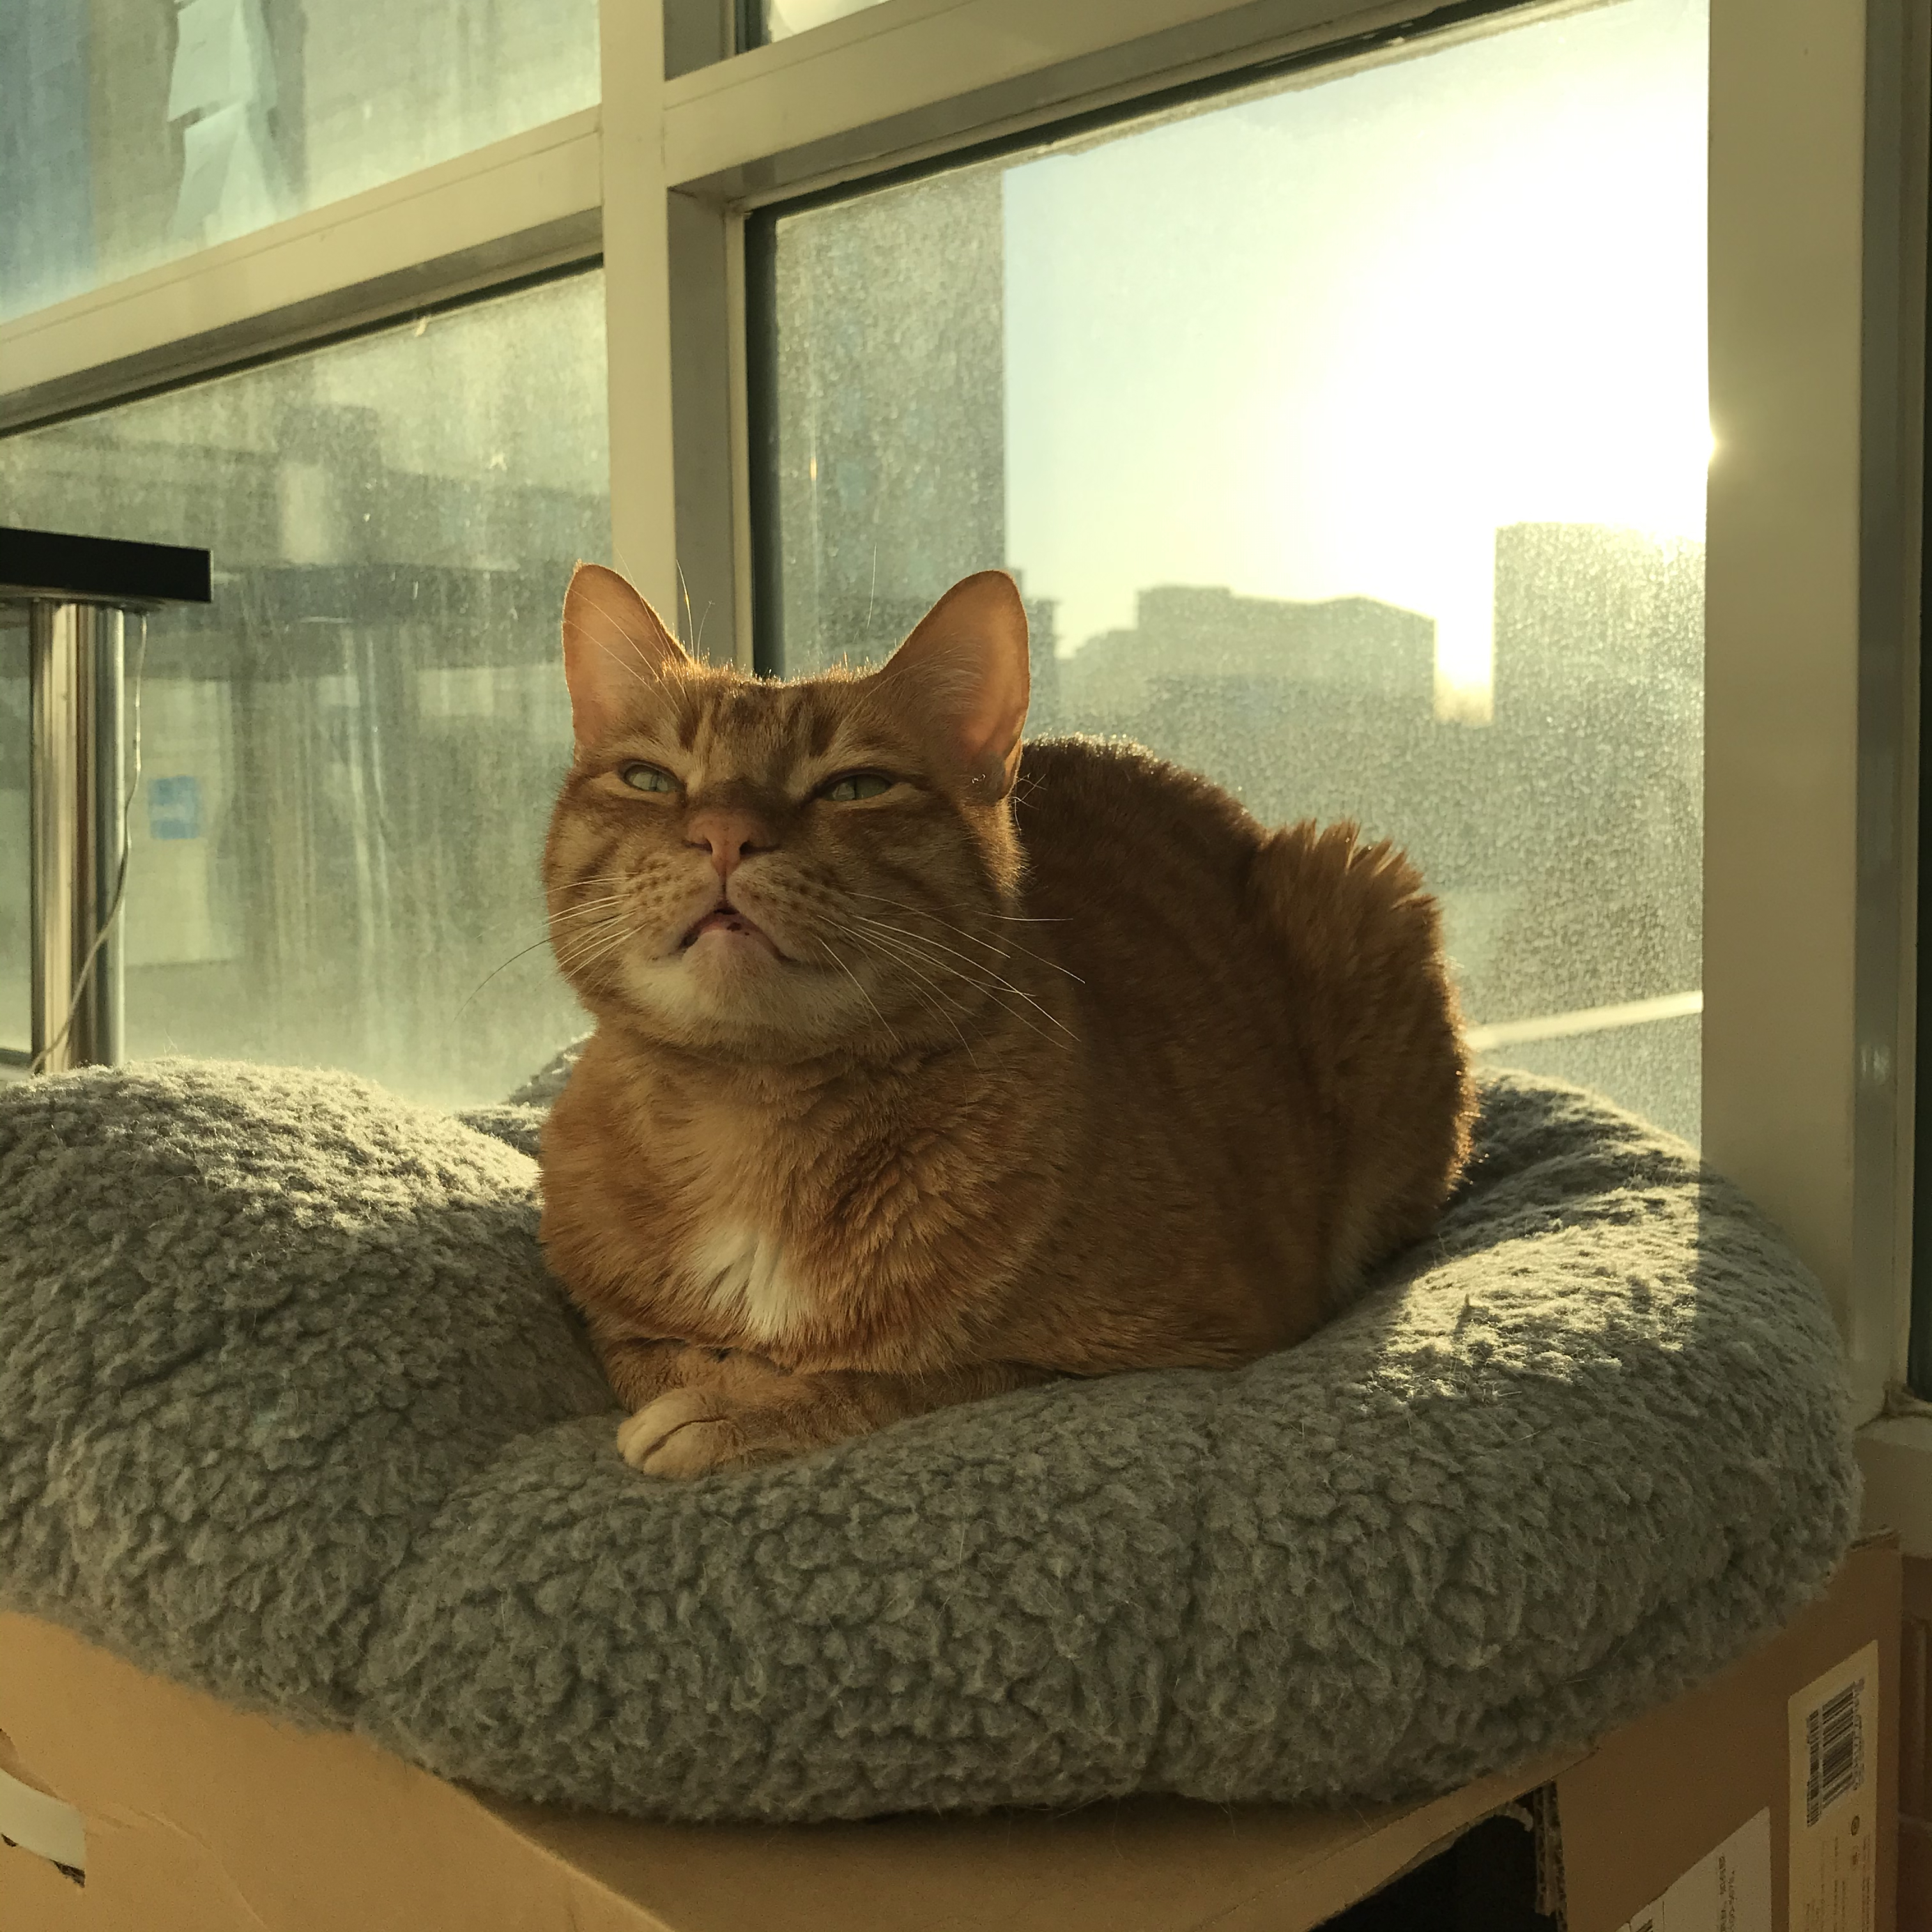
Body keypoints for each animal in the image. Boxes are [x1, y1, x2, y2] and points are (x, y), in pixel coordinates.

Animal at [538, 561, 1474, 1478]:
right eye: (650, 778)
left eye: (856, 787)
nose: (725, 833)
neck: (748, 1119)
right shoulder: (613, 1325)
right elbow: (657, 1354)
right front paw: (724, 1381)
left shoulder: (1191, 1350)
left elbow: (923, 1378)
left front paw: (740, 1410)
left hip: (1356, 890)